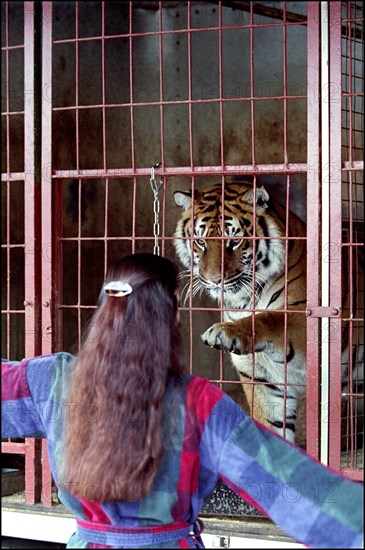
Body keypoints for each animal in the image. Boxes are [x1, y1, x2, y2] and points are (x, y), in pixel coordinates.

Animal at [173, 182, 308, 444]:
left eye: (234, 240)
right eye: (201, 241)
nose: (214, 280)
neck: (245, 300)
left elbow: (271, 318)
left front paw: (225, 332)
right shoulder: (262, 377)